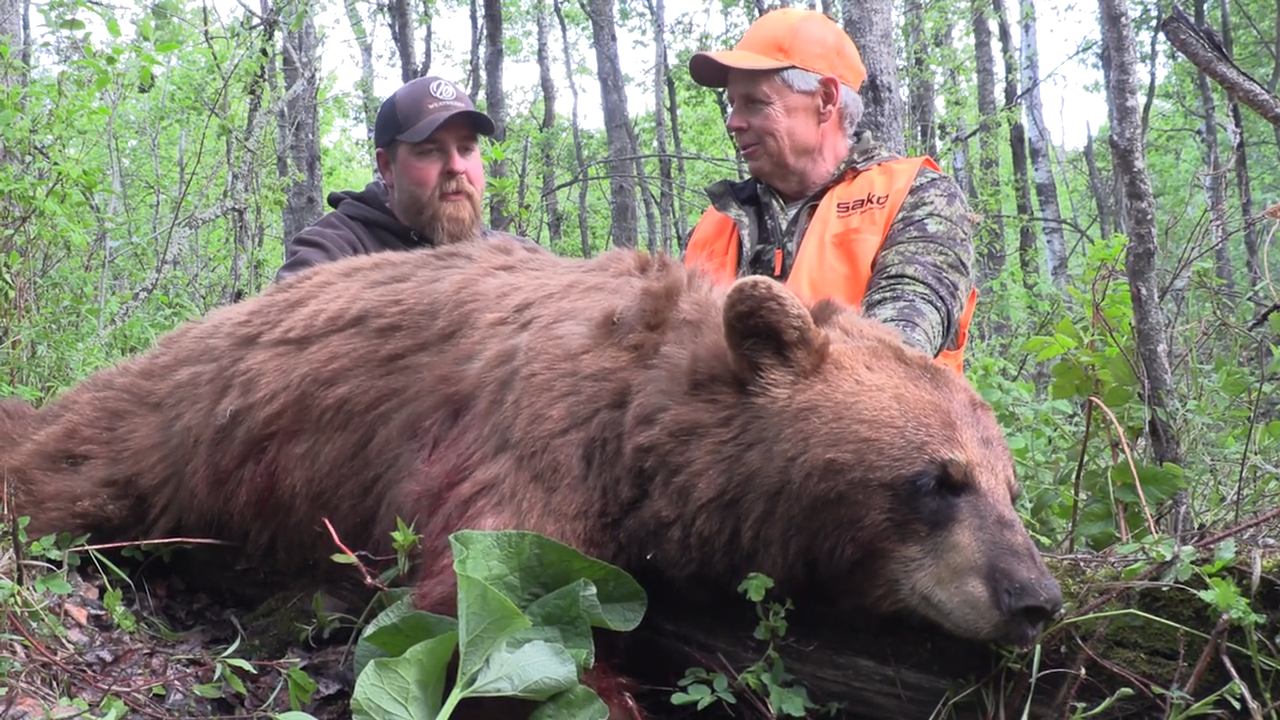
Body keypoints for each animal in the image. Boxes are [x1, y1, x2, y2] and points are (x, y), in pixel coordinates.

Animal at [3, 238, 1062, 717]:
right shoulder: (531, 446)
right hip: (163, 431)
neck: (643, 408)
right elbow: (500, 616)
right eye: (938, 480)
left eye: (1009, 489)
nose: (1035, 599)